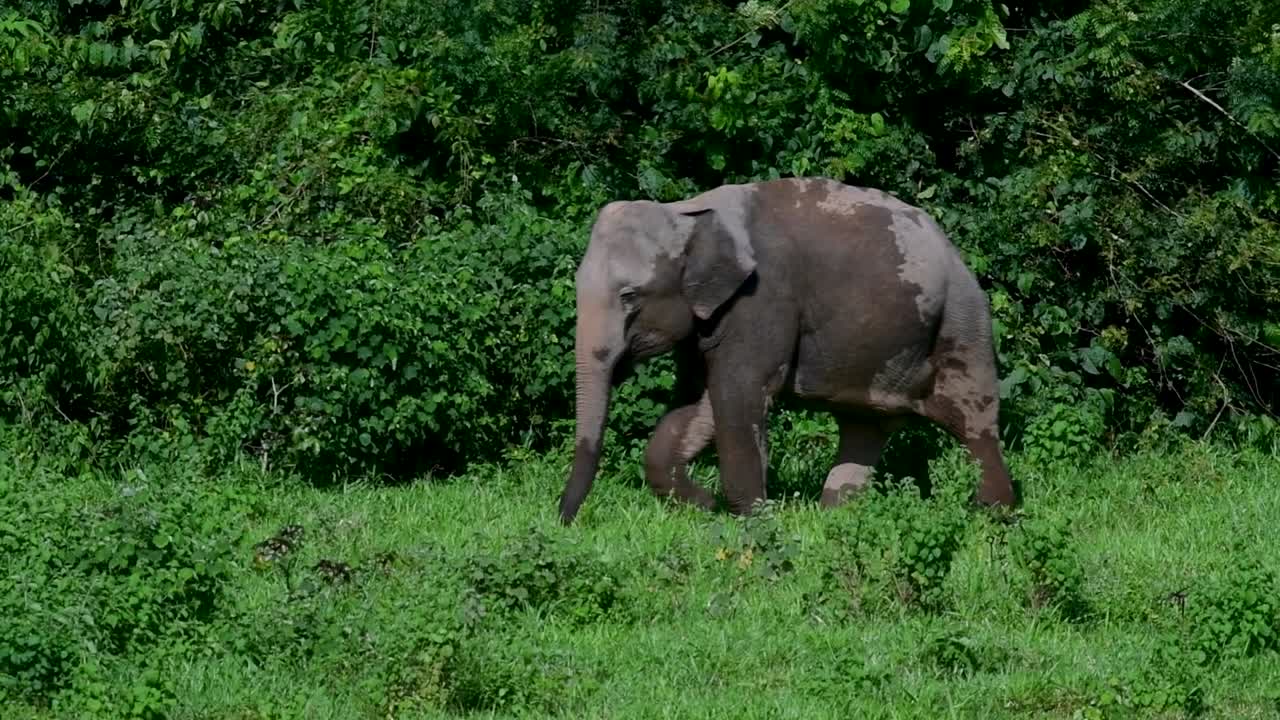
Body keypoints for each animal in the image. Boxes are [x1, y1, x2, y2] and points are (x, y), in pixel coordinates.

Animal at [557, 176, 1016, 525]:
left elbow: (738, 394)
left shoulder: (763, 299)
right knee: (864, 428)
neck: (688, 212)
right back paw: (836, 519)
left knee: (972, 423)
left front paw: (754, 521)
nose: (564, 521)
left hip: (962, 324)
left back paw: (992, 518)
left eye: (630, 296)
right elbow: (699, 401)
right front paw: (705, 505)